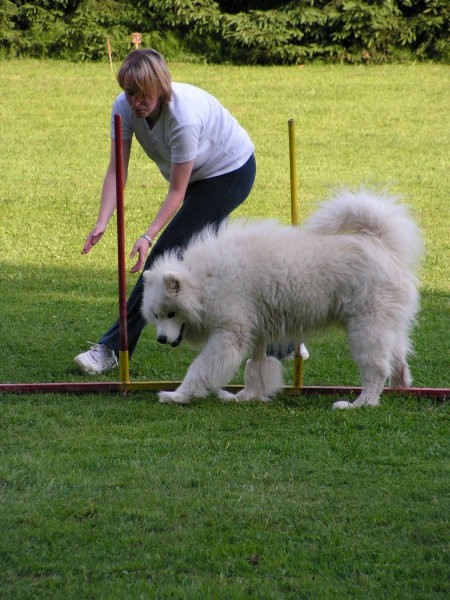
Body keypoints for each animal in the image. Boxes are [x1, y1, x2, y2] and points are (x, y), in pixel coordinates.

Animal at [141, 190, 422, 410]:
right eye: (156, 316)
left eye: (171, 313)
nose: (161, 339)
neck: (203, 283)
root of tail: (384, 245)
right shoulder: (258, 332)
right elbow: (256, 367)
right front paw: (246, 397)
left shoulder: (230, 335)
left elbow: (199, 368)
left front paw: (177, 396)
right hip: (385, 327)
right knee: (397, 359)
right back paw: (400, 386)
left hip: (365, 330)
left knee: (376, 370)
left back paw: (360, 404)